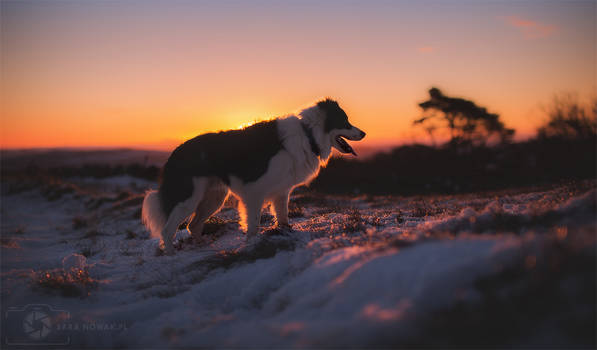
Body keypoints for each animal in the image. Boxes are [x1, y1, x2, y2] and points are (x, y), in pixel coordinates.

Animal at [143, 98, 366, 254]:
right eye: (345, 121)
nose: (364, 133)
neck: (308, 134)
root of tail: (175, 153)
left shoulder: (282, 191)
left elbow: (283, 217)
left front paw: (285, 233)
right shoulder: (254, 192)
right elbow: (254, 224)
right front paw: (251, 244)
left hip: (213, 198)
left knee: (193, 225)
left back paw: (200, 246)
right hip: (188, 198)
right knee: (167, 229)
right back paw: (170, 254)